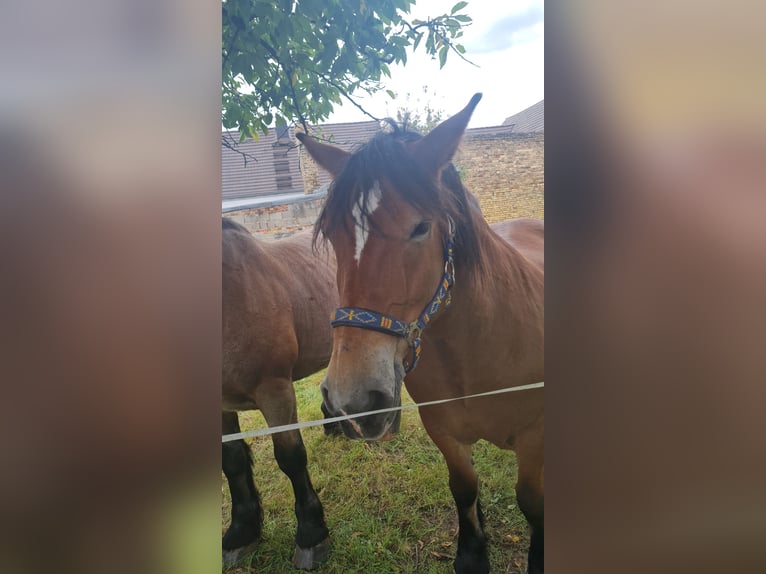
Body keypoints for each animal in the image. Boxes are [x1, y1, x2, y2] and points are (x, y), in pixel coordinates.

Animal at [298, 92, 544, 572]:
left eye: (420, 227)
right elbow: (464, 488)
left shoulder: (535, 438)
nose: (352, 400)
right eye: (333, 234)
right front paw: (472, 552)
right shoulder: (444, 433)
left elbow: (532, 504)